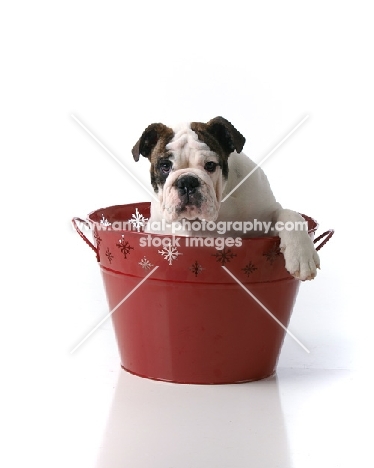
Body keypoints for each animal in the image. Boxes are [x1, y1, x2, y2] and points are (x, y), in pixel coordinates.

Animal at [133, 116, 320, 282]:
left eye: (210, 165)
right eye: (165, 166)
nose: (187, 181)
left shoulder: (266, 218)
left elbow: (290, 215)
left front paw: (302, 255)